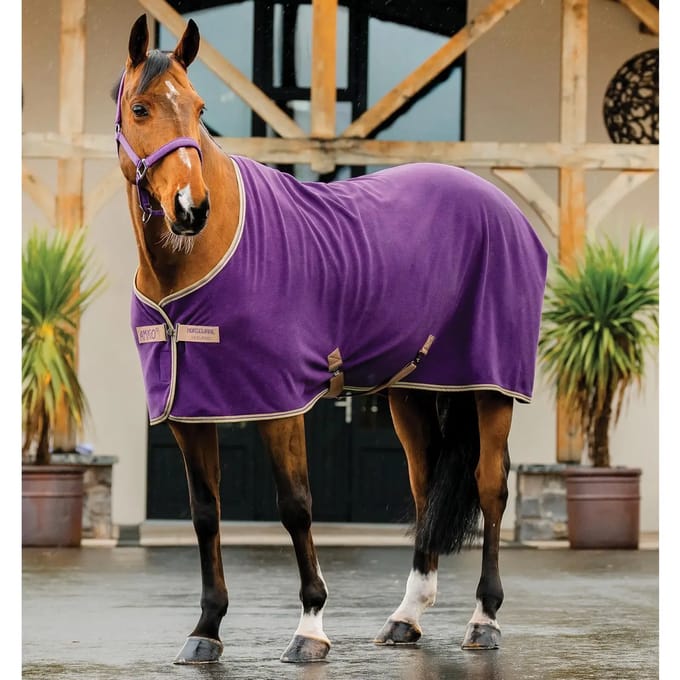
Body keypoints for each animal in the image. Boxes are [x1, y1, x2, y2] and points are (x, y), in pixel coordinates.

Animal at [114, 14, 548, 665]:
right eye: (140, 108)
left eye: (197, 108)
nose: (191, 208)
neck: (196, 258)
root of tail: (503, 207)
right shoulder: (190, 410)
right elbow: (205, 513)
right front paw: (206, 629)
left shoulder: (279, 404)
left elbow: (295, 507)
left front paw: (311, 628)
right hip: (413, 391)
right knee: (426, 490)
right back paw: (404, 618)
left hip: (491, 388)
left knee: (491, 488)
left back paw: (484, 620)